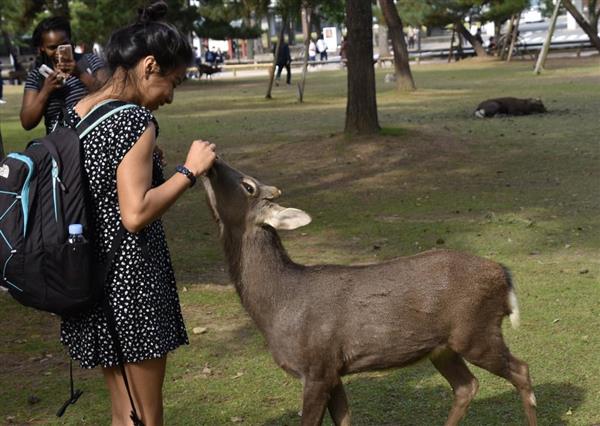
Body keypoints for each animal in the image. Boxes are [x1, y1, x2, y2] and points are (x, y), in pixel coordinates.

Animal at [202, 160, 540, 426]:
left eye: (247, 185)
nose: (213, 162)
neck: (276, 307)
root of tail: (504, 274)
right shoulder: (333, 371)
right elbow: (345, 420)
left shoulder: (316, 367)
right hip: (442, 347)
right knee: (466, 386)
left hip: (476, 332)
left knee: (521, 370)